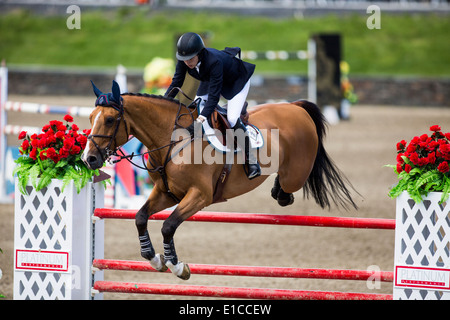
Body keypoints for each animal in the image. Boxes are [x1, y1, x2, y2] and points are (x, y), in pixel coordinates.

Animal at [81, 80, 358, 280]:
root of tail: (295, 107)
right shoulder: (166, 193)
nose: (89, 159)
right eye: (91, 117)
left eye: (109, 119)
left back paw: (279, 191)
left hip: (296, 173)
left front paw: (177, 266)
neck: (174, 140)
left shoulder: (199, 196)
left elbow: (168, 225)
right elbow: (140, 217)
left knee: (287, 190)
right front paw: (154, 258)